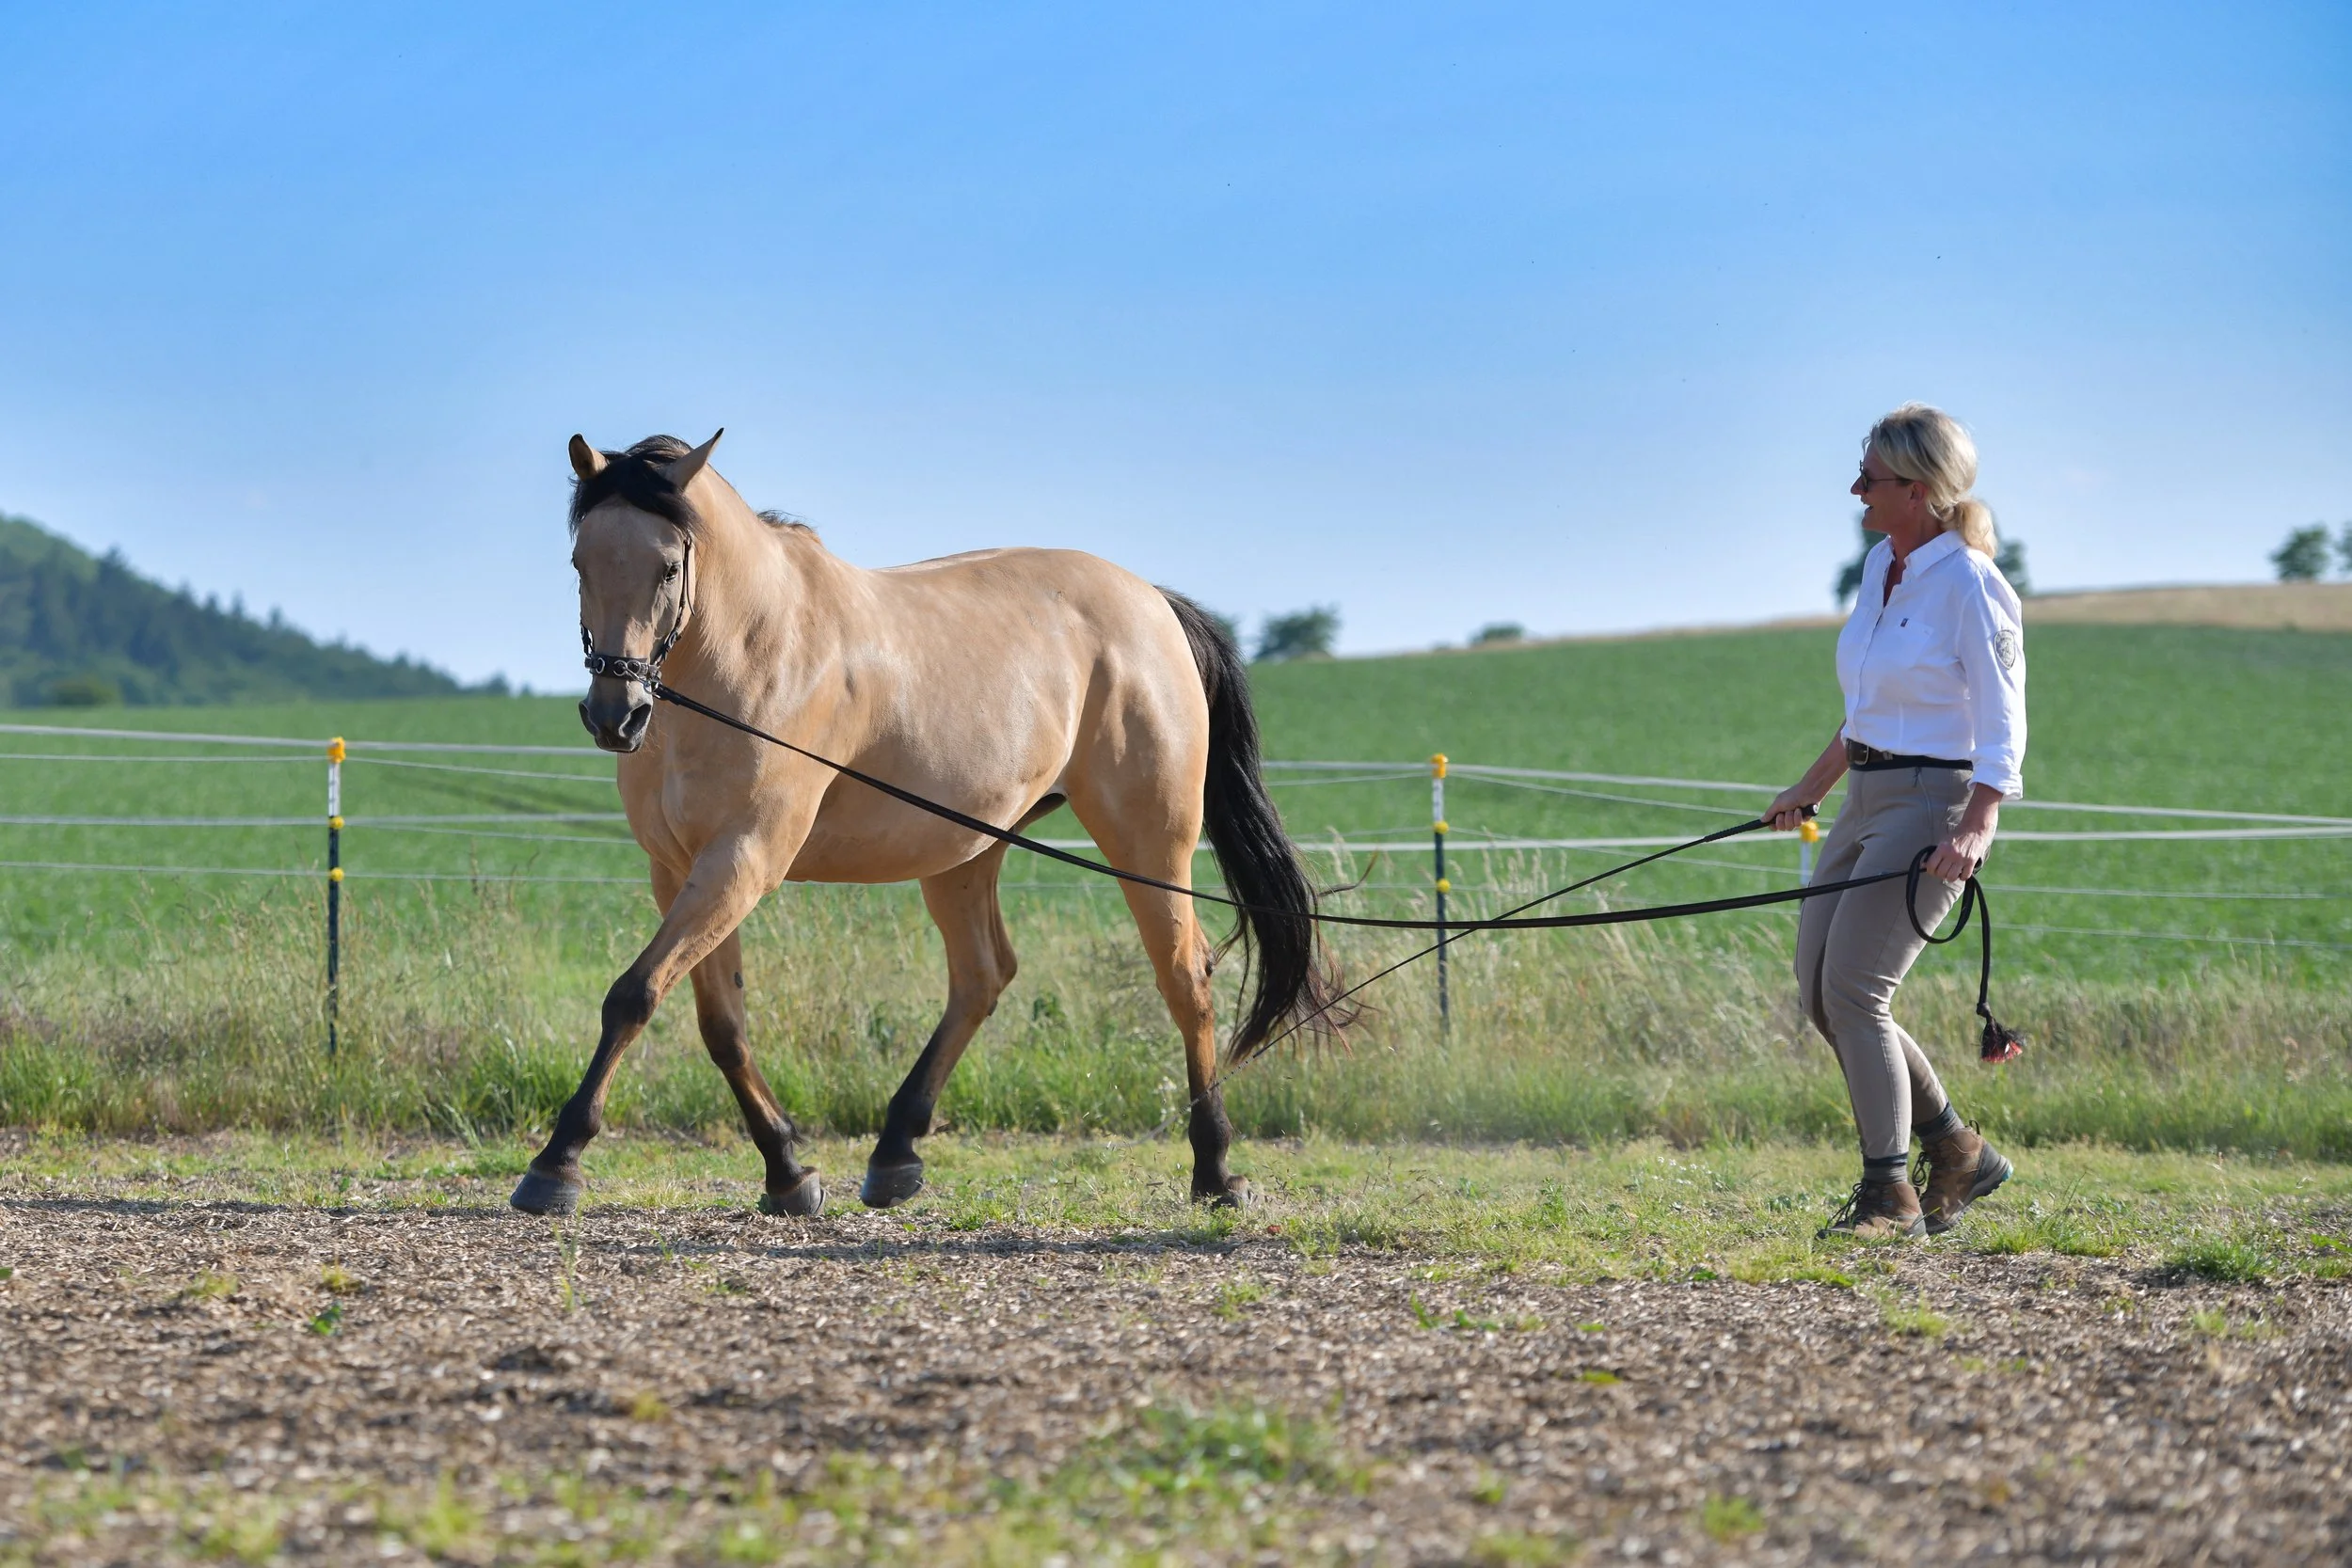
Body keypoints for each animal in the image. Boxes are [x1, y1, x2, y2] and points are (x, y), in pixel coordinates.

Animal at [509, 429, 1344, 1219]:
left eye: (667, 567)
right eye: (581, 561)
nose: (614, 714)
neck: (748, 654)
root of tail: (1153, 604)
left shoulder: (744, 859)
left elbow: (635, 994)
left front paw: (556, 1164)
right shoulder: (682, 869)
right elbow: (720, 1023)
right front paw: (788, 1172)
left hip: (1149, 841)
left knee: (1184, 977)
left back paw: (1217, 1171)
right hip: (965, 850)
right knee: (982, 975)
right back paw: (896, 1153)